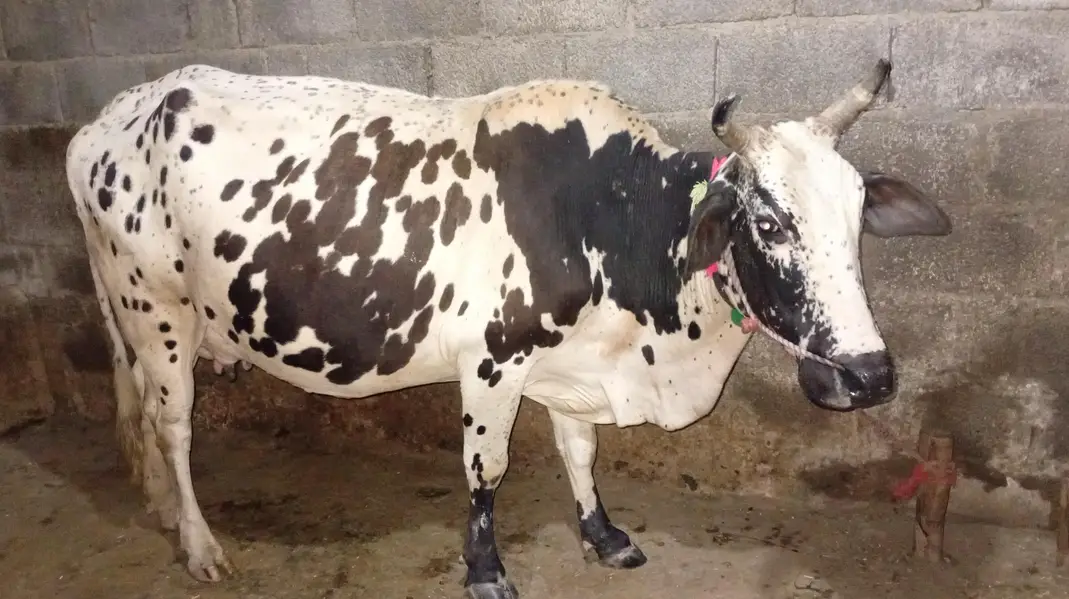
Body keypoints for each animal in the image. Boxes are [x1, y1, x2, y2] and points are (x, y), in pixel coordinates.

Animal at [65, 57, 951, 599]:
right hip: (157, 314)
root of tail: (108, 118)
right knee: (173, 426)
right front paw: (485, 567)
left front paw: (602, 534)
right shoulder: (492, 360)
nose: (868, 374)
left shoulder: (568, 366)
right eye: (767, 222)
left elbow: (579, 451)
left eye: (858, 215)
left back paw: (160, 506)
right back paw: (198, 541)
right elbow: (486, 468)